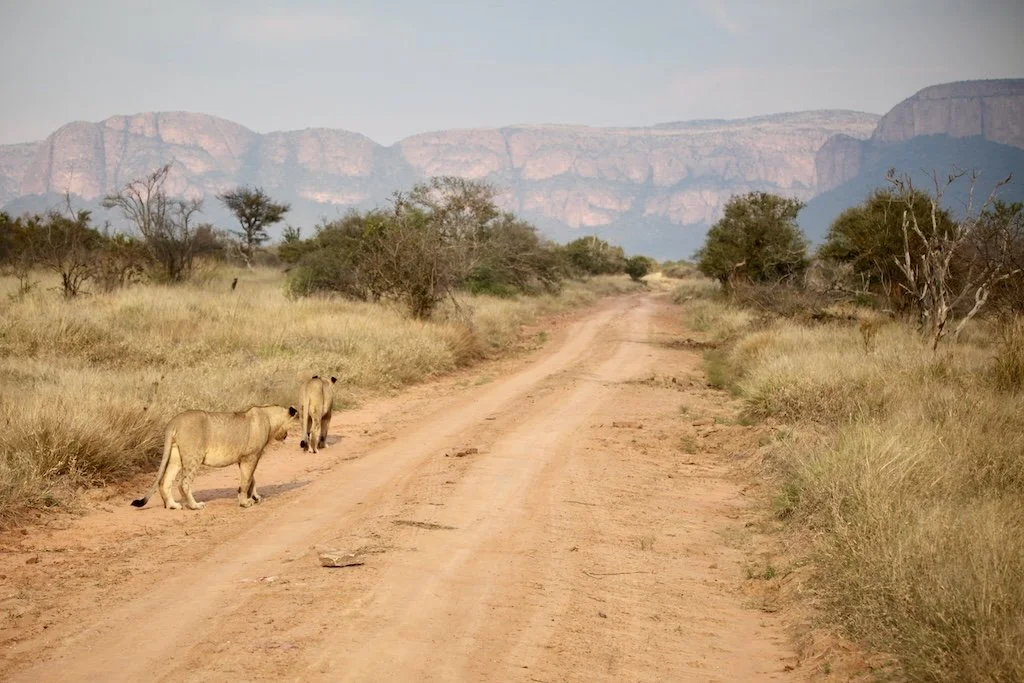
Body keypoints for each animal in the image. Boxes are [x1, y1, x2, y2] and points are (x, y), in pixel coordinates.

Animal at [131, 404, 298, 510]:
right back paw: (195, 506)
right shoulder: (250, 457)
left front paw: (255, 497)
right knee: (183, 483)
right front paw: (245, 502)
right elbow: (246, 481)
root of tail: (174, 421)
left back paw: (173, 505)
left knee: (165, 481)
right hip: (194, 456)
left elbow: (252, 479)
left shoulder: (243, 458)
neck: (269, 417)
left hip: (175, 456)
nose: (286, 435)